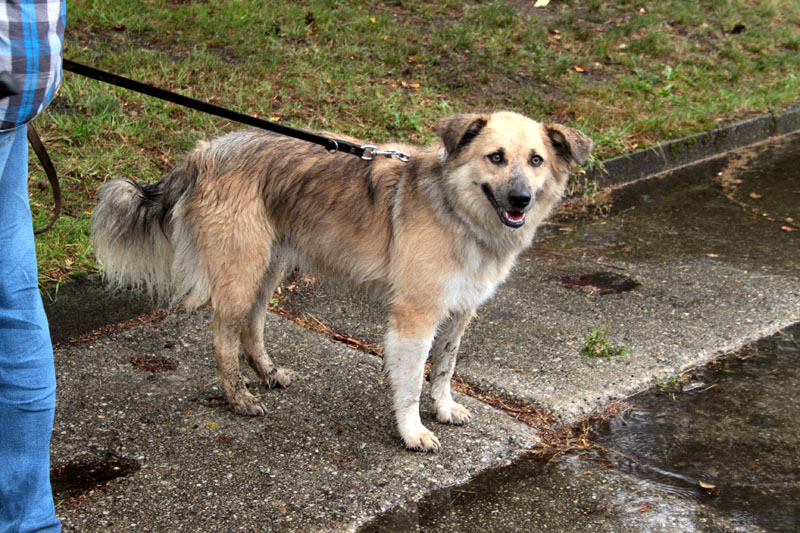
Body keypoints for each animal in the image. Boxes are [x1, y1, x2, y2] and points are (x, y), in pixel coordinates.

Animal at [91, 111, 592, 451]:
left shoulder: (459, 311)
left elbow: (446, 367)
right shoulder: (414, 317)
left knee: (253, 324)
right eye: (496, 158)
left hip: (269, 267)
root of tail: (205, 152)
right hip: (240, 271)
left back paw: (267, 373)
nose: (521, 198)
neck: (456, 209)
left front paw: (443, 407)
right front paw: (412, 432)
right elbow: (411, 382)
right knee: (222, 338)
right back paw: (239, 398)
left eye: (536, 160)